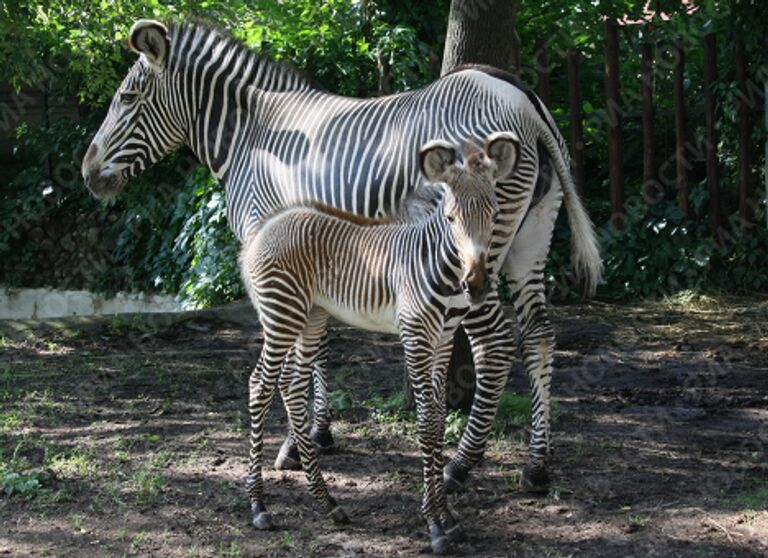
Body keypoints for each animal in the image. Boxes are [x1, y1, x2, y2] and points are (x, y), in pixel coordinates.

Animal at [82, 19, 600, 494]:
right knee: (539, 335)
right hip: (530, 238)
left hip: (473, 251)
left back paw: (460, 464)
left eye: (127, 98)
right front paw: (317, 433)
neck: (252, 134)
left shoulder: (271, 243)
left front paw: (295, 445)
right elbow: (317, 342)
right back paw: (536, 465)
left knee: (495, 341)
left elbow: (299, 348)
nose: (87, 173)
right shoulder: (311, 258)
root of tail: (524, 100)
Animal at [240, 136, 516, 556]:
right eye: (451, 218)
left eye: (496, 213)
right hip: (281, 315)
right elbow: (427, 422)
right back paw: (258, 506)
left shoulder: (443, 340)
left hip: (311, 316)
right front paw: (434, 524)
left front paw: (446, 514)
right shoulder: (416, 336)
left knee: (289, 387)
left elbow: (438, 418)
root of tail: (268, 226)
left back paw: (328, 503)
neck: (440, 266)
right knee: (260, 385)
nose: (478, 285)